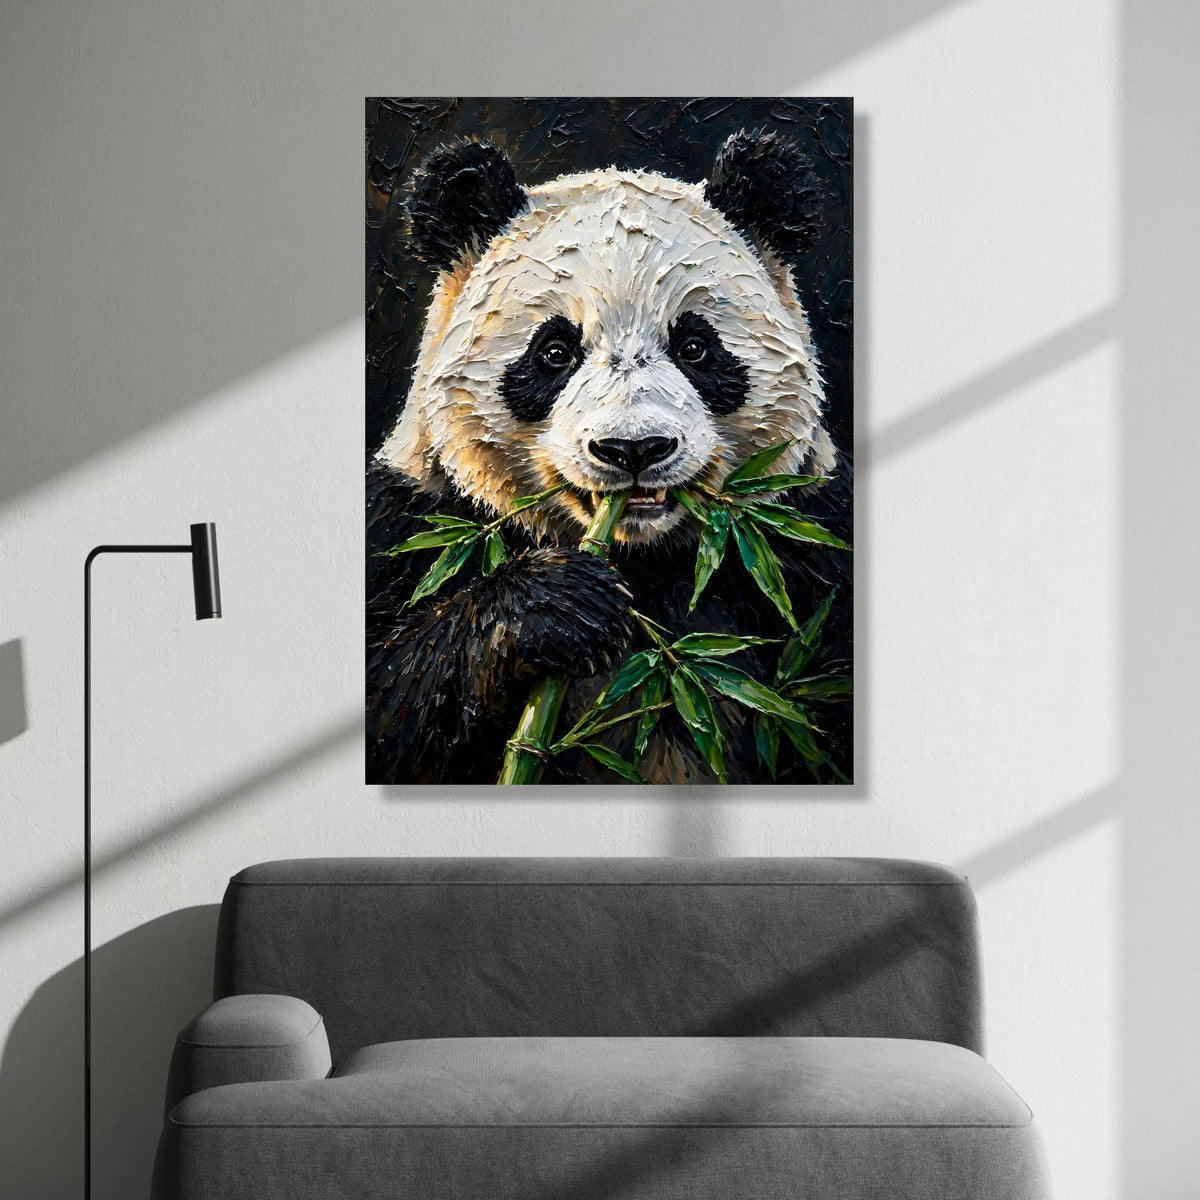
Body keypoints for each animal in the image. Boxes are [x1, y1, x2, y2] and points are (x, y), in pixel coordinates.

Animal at [367, 130, 852, 785]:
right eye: (554, 352)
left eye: (695, 347)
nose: (634, 449)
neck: (643, 562)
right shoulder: (414, 521)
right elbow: (389, 702)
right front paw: (558, 606)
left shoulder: (804, 539)